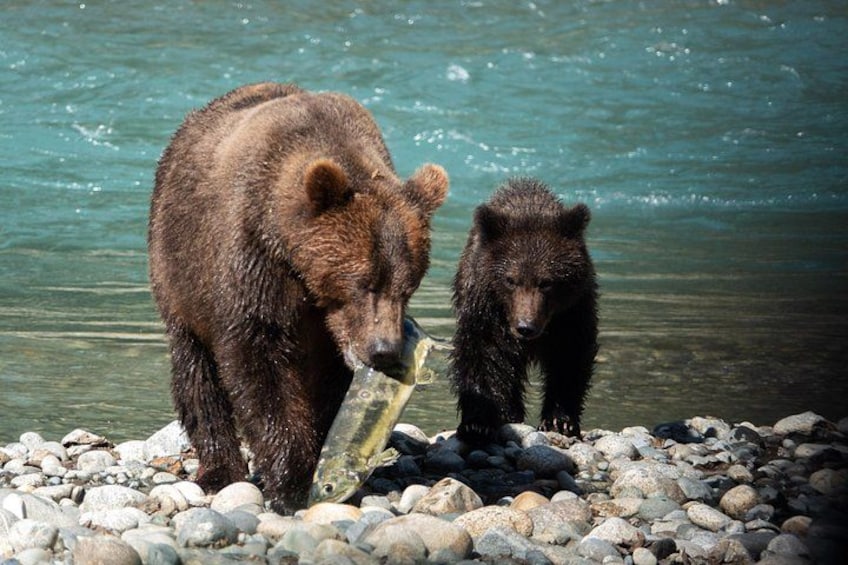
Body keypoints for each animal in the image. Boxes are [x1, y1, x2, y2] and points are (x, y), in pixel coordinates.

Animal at [148, 82, 448, 513]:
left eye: (408, 286)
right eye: (363, 282)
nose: (384, 351)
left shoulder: (328, 329)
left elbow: (329, 382)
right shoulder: (253, 262)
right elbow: (259, 364)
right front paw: (291, 481)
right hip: (179, 273)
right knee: (195, 372)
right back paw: (220, 470)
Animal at [450, 177, 597, 444]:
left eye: (547, 282)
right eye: (510, 280)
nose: (525, 327)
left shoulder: (572, 311)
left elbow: (569, 354)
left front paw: (560, 421)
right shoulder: (487, 309)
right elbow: (484, 353)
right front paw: (479, 423)